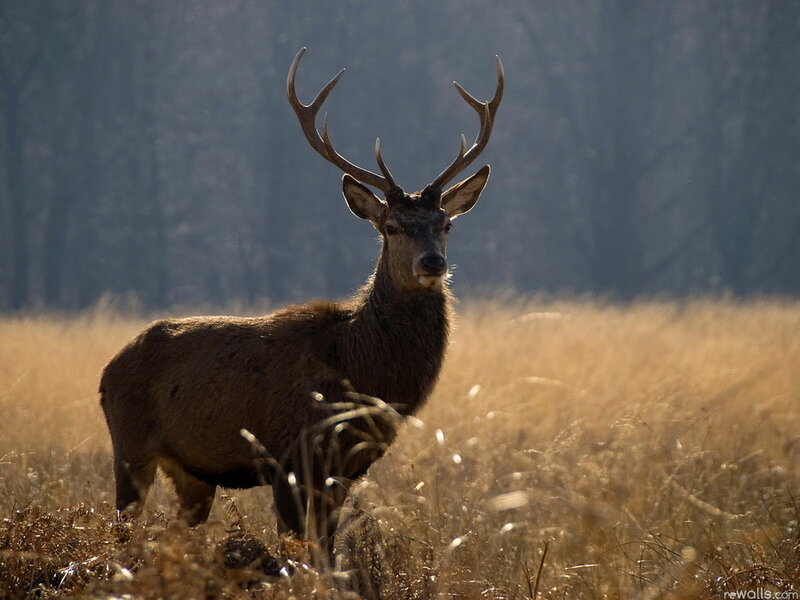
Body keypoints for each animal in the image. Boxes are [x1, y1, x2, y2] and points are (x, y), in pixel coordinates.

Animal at [99, 47, 503, 561]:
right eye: (391, 227)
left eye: (445, 224)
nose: (433, 262)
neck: (358, 371)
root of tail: (107, 371)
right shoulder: (288, 457)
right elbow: (298, 556)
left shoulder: (343, 470)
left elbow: (328, 555)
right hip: (129, 447)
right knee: (122, 532)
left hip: (193, 473)